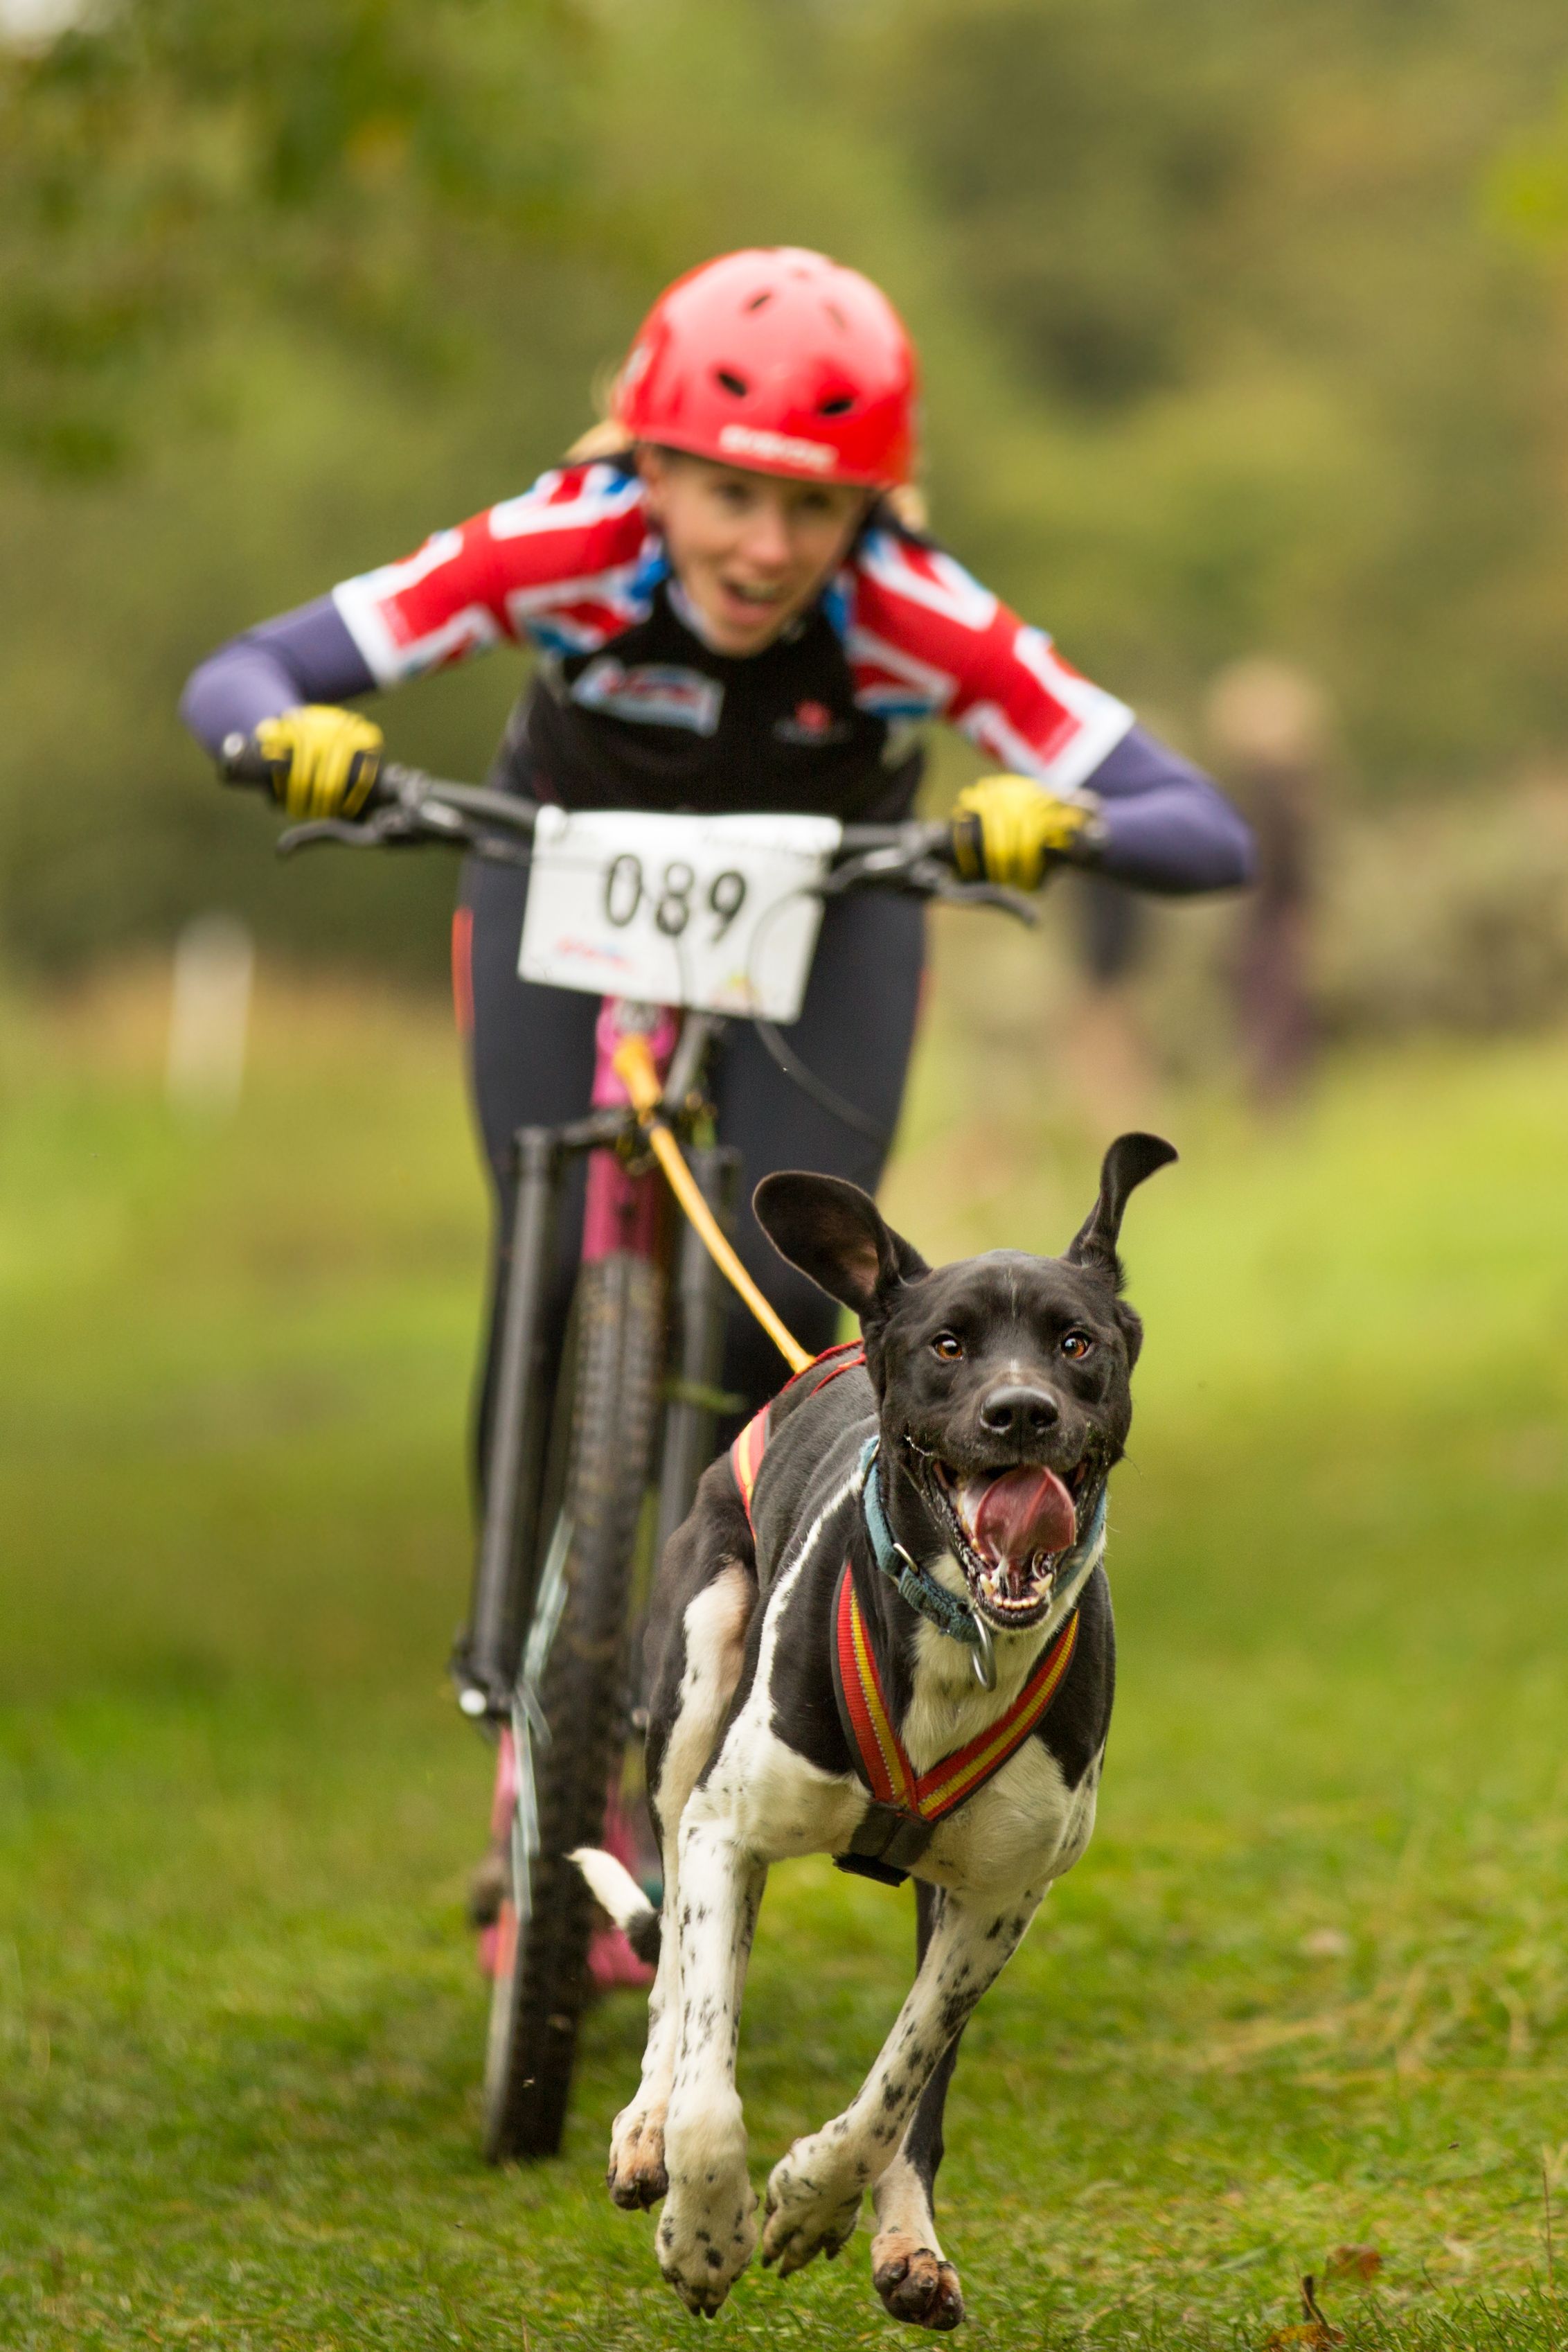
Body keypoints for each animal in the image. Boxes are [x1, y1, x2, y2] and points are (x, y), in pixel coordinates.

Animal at [576, 1129, 1175, 2324]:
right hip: (693, 1683)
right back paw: (645, 2125)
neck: (958, 1632)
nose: (1022, 1411)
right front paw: (705, 2228)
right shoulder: (726, 1829)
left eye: (1076, 1341)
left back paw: (906, 2243)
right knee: (672, 1980)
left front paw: (814, 2197)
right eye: (948, 1344)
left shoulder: (1001, 1896)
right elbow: (711, 2075)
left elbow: (898, 2085)